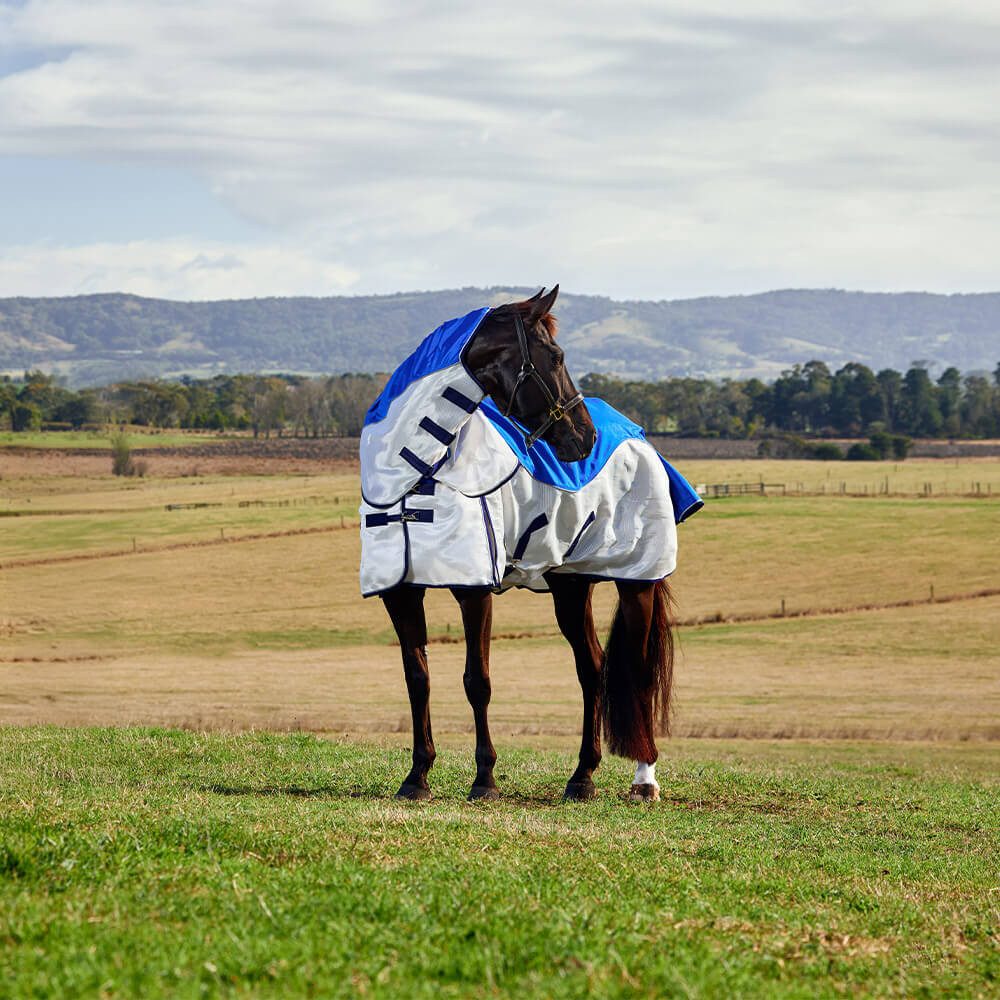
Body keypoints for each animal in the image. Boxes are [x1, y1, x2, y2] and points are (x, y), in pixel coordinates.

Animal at [359, 286, 701, 802]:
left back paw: (644, 780)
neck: (413, 474)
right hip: (571, 585)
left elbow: (477, 681)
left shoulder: (473, 590)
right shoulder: (400, 591)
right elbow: (417, 678)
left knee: (636, 672)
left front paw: (484, 779)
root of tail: (639, 436)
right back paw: (582, 777)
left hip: (635, 582)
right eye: (556, 356)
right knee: (592, 668)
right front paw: (417, 777)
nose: (585, 438)